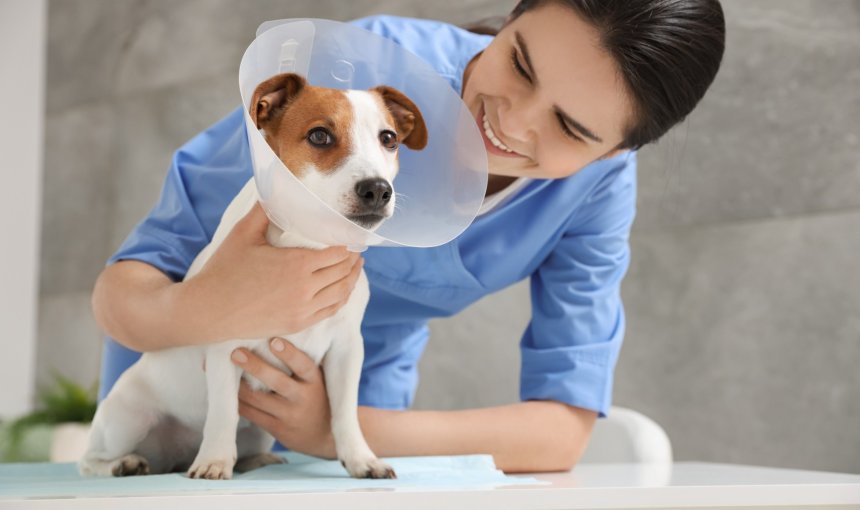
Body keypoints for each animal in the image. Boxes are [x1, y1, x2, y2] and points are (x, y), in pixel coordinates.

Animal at [80, 73, 426, 480]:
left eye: (388, 138)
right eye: (320, 135)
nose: (377, 189)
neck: (306, 242)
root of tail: (174, 454)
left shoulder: (345, 350)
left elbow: (344, 412)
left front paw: (361, 459)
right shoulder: (226, 350)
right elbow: (223, 412)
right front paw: (214, 461)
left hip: (258, 430)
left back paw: (256, 459)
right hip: (126, 419)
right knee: (90, 460)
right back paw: (125, 463)